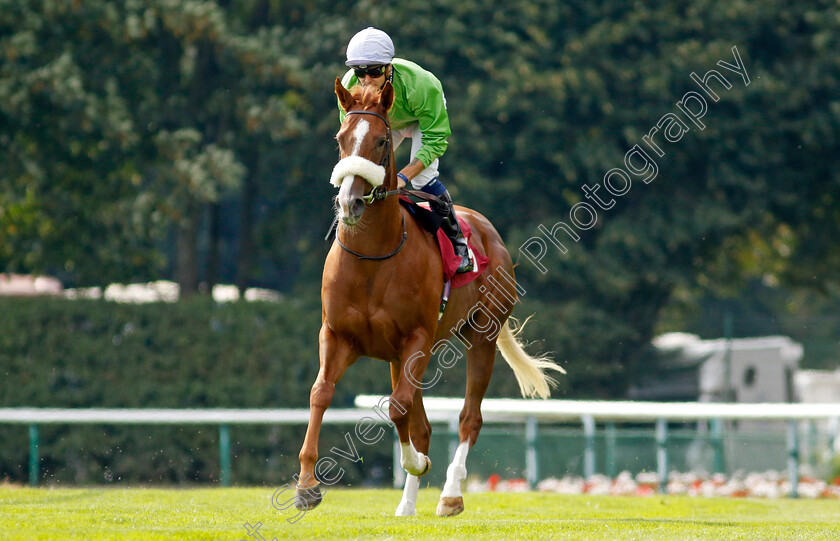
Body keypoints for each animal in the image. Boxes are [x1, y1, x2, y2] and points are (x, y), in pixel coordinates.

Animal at [296, 77, 564, 516]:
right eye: (340, 138)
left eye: (381, 141)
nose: (349, 203)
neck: (373, 257)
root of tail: (491, 232)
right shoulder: (337, 335)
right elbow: (322, 393)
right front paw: (306, 486)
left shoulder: (417, 339)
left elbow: (398, 407)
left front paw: (419, 463)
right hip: (397, 356)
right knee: (418, 421)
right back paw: (406, 505)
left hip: (482, 335)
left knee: (469, 417)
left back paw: (450, 494)